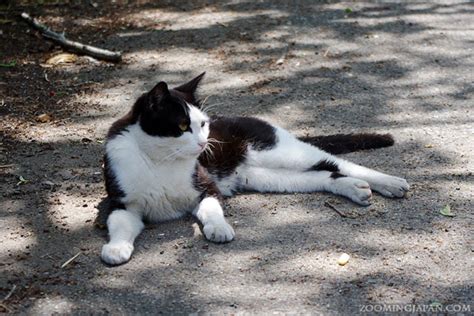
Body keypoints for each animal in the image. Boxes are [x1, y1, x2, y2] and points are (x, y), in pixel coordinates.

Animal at [99, 73, 408, 264]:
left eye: (203, 124)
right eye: (183, 125)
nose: (204, 143)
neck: (160, 161)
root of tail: (260, 120)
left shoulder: (206, 186)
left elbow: (211, 209)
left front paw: (219, 229)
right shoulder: (121, 202)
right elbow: (120, 224)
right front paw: (116, 248)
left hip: (280, 152)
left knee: (337, 161)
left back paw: (390, 183)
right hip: (263, 176)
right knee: (324, 174)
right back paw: (354, 188)